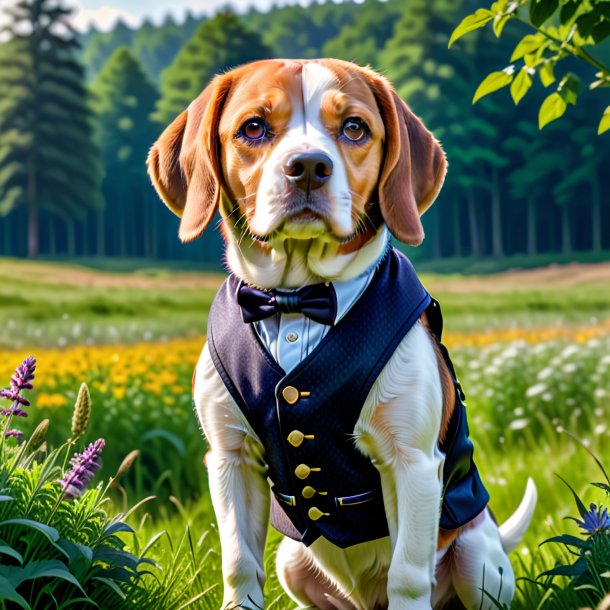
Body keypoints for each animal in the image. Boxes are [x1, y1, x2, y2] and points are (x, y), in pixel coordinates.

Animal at [150, 58, 536, 608]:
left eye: (354, 128)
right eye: (253, 127)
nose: (309, 167)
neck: (298, 298)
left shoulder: (413, 464)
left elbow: (408, 574)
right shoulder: (230, 459)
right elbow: (239, 565)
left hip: (477, 559)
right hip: (292, 561)